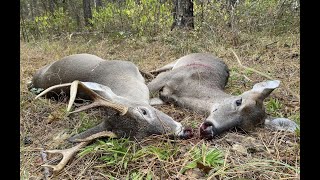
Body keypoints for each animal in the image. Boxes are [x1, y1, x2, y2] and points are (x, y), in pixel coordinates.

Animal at [148, 52, 298, 140]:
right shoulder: (168, 76)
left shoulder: (164, 98)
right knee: (156, 70)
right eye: (238, 101)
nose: (209, 130)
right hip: (175, 62)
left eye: (239, 128)